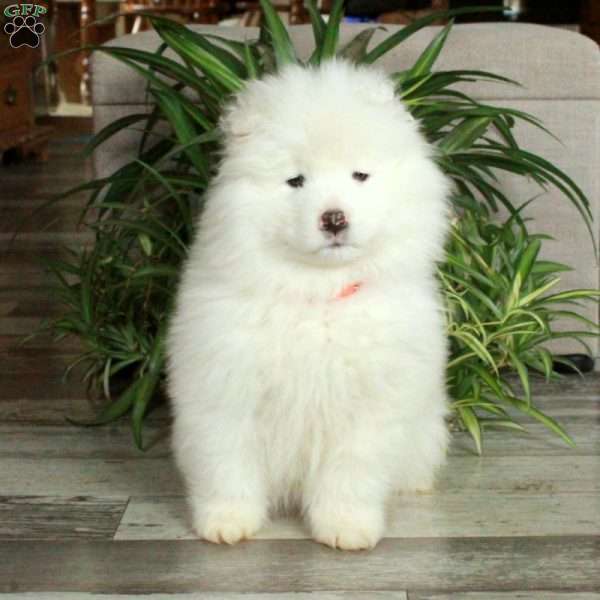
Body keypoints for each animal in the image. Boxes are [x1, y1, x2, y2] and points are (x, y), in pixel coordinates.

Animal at [166, 59, 448, 548]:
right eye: (295, 181)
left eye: (359, 175)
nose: (333, 218)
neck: (319, 294)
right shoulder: (226, 386)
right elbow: (228, 463)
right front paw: (227, 521)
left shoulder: (368, 406)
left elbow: (351, 472)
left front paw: (346, 527)